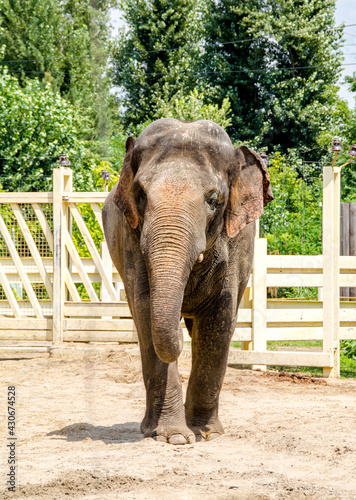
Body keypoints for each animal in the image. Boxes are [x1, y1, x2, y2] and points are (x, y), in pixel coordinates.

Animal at [101, 118, 274, 446]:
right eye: (140, 194)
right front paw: (175, 437)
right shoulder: (130, 240)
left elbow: (219, 320)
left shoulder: (237, 245)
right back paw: (148, 428)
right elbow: (146, 312)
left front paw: (205, 433)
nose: (180, 338)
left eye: (214, 200)